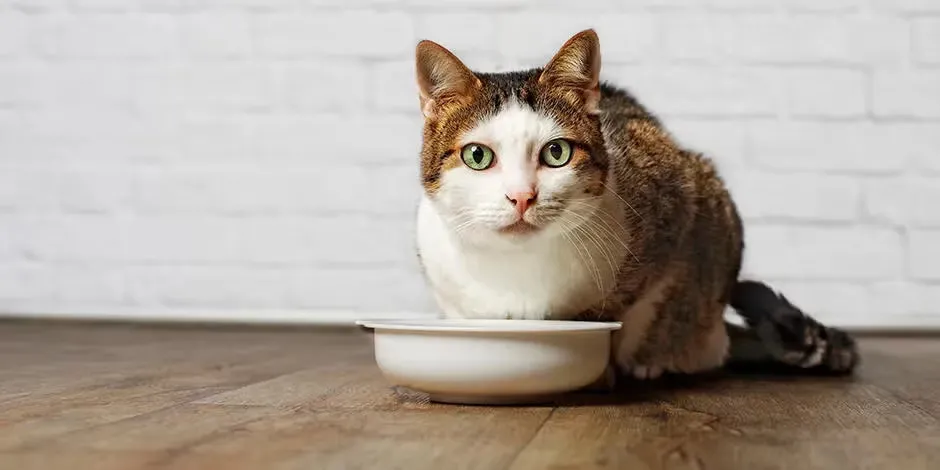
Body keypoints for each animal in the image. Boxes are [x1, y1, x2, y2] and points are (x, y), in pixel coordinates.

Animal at [412, 29, 860, 380]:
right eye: (477, 156)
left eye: (556, 153)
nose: (521, 196)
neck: (516, 269)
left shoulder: (685, 201)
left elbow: (619, 312)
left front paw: (613, 366)